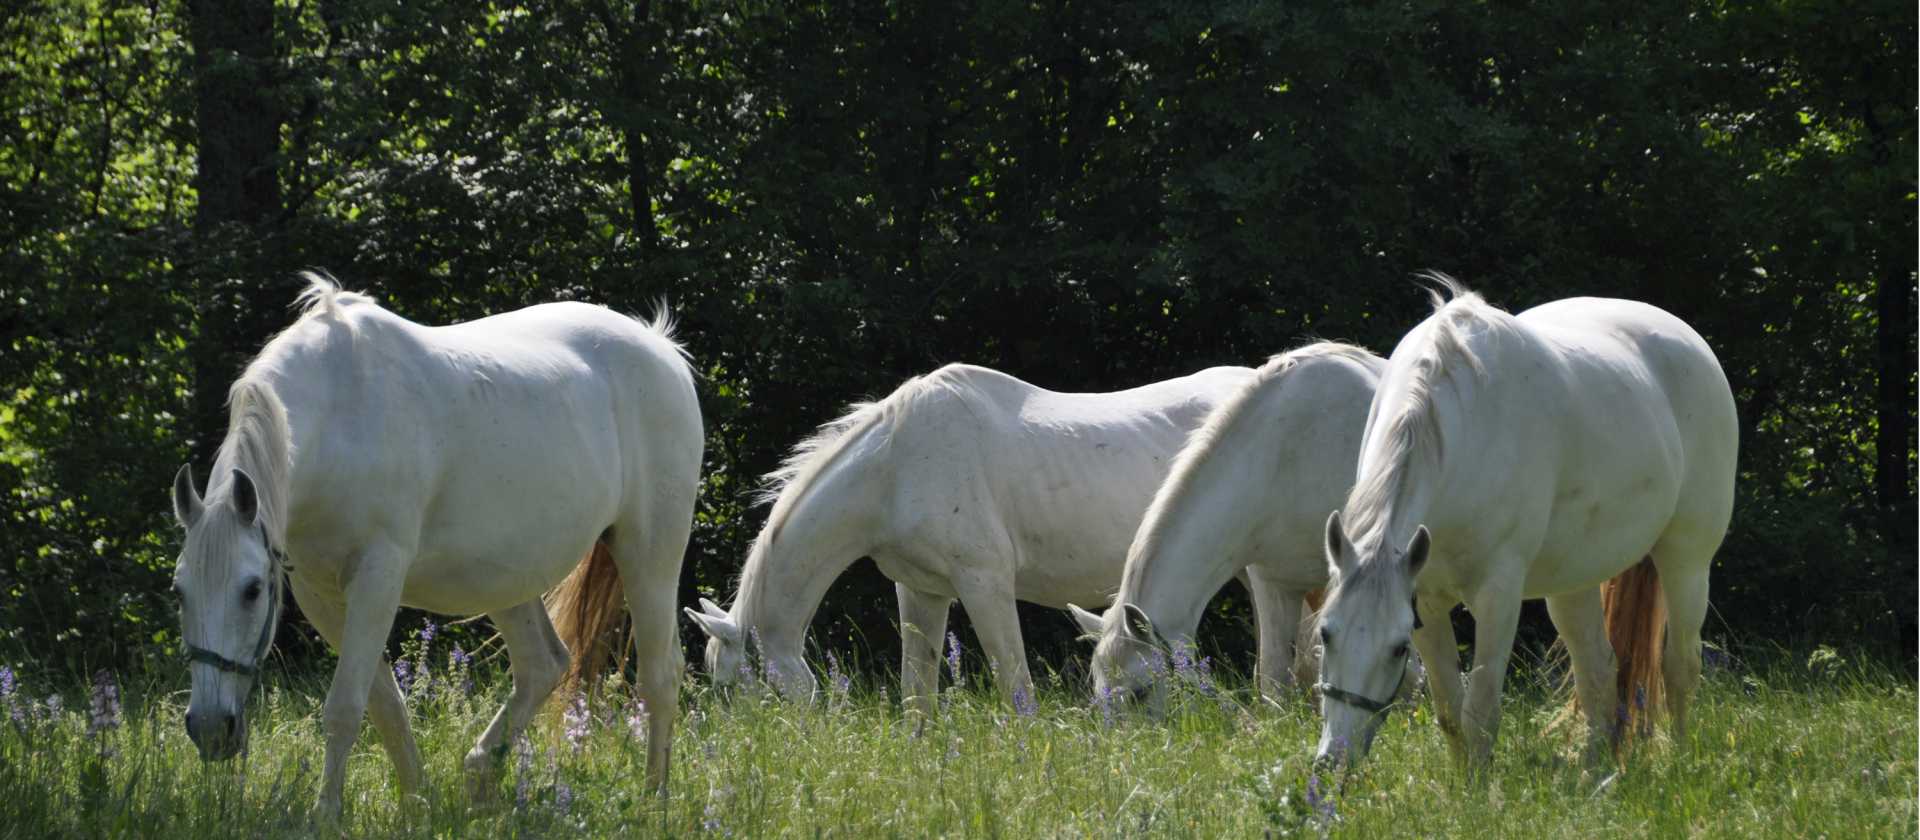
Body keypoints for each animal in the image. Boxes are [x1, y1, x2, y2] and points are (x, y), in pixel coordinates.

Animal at [168, 273, 702, 818]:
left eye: (252, 590)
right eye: (179, 592)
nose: (210, 729)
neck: (340, 415)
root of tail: (660, 347)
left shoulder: (377, 577)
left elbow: (344, 706)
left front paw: (325, 814)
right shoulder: (320, 593)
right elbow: (384, 704)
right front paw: (415, 801)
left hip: (650, 555)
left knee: (660, 675)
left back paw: (654, 799)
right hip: (506, 578)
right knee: (544, 665)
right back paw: (480, 774)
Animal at [681, 362, 1328, 718]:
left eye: (730, 688)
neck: (894, 466)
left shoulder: (985, 585)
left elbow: (1015, 686)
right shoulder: (921, 592)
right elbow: (918, 698)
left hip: (1258, 571)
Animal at [1311, 277, 1736, 773]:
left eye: (1397, 647)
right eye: (1326, 632)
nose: (1333, 759)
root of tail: (1690, 342)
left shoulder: (1497, 597)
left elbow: (1479, 711)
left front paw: (1477, 789)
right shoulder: (1426, 601)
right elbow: (1449, 712)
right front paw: (1459, 783)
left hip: (1687, 561)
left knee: (1680, 667)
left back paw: (1680, 763)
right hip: (1573, 585)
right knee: (1598, 673)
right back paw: (1593, 773)